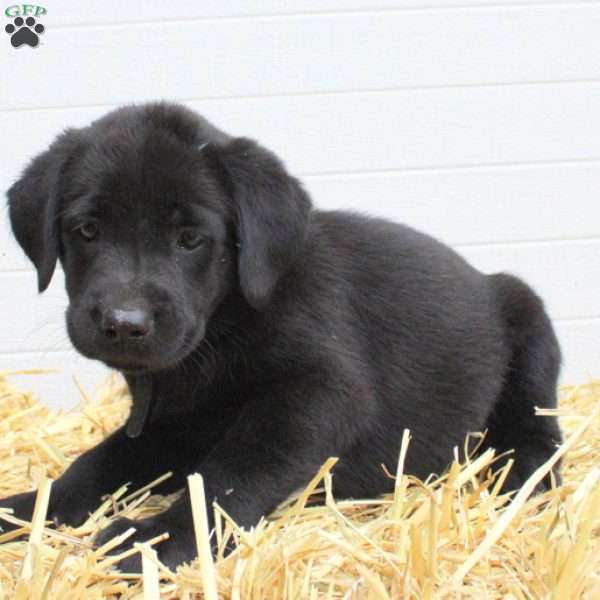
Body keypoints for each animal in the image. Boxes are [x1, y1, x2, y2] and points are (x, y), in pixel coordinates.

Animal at [2, 104, 560, 572]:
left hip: (529, 322)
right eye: (87, 230)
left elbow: (230, 475)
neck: (224, 327)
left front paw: (159, 538)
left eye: (190, 239)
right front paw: (27, 507)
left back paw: (518, 479)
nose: (123, 324)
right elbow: (98, 463)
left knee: (542, 436)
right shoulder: (172, 424)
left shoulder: (317, 395)